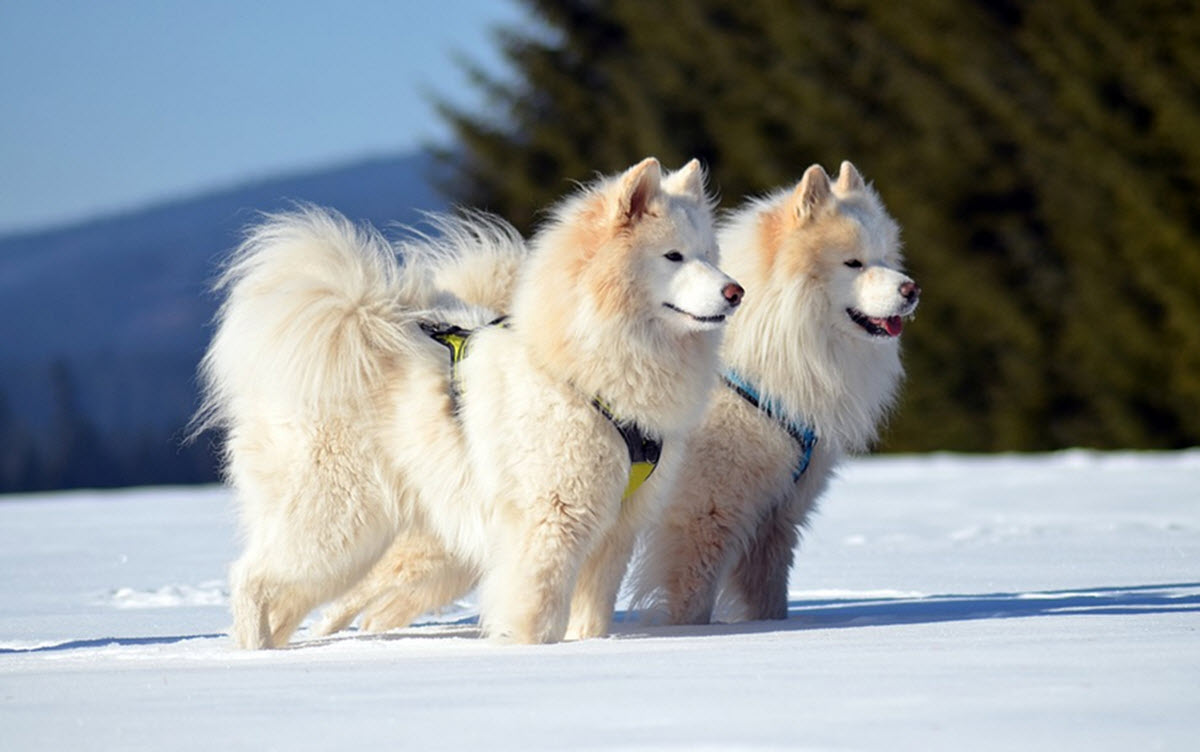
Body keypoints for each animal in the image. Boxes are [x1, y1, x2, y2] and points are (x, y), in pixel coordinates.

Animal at [194, 154, 739, 647]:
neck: (579, 369)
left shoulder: (615, 533)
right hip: (335, 521)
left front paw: (588, 647)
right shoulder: (551, 521)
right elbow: (537, 611)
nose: (736, 292)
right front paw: (528, 651)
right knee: (251, 578)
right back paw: (251, 653)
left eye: (710, 255)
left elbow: (591, 618)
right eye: (673, 256)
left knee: (289, 597)